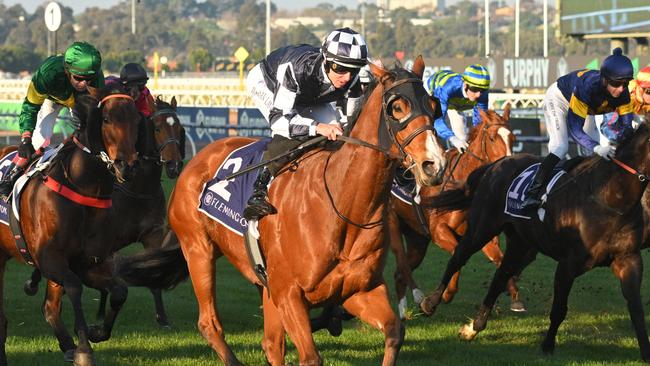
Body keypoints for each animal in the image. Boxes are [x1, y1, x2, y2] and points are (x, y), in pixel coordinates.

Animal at [0, 86, 139, 366]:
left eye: (137, 120)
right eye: (106, 119)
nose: (126, 166)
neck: (82, 186)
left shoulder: (86, 262)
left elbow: (119, 290)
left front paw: (95, 333)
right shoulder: (49, 258)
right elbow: (74, 287)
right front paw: (84, 349)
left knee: (50, 307)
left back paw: (66, 345)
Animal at [115, 57, 446, 366]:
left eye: (435, 107)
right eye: (397, 107)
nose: (435, 164)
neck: (343, 205)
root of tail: (194, 163)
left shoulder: (360, 290)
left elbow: (394, 332)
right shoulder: (289, 293)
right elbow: (310, 357)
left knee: (271, 344)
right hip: (199, 250)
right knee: (209, 324)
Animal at [388, 105, 520, 318]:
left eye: (513, 139)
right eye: (492, 138)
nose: (510, 166)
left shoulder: (484, 237)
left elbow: (499, 259)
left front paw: (515, 296)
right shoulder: (438, 232)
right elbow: (457, 254)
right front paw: (444, 295)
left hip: (418, 241)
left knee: (400, 273)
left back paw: (403, 312)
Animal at [420, 120, 650, 360]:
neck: (610, 198)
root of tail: (497, 164)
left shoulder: (628, 259)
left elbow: (636, 309)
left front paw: (645, 352)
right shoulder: (567, 264)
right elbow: (559, 309)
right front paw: (547, 346)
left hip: (520, 242)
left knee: (500, 275)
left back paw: (475, 327)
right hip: (481, 229)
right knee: (458, 258)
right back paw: (430, 302)